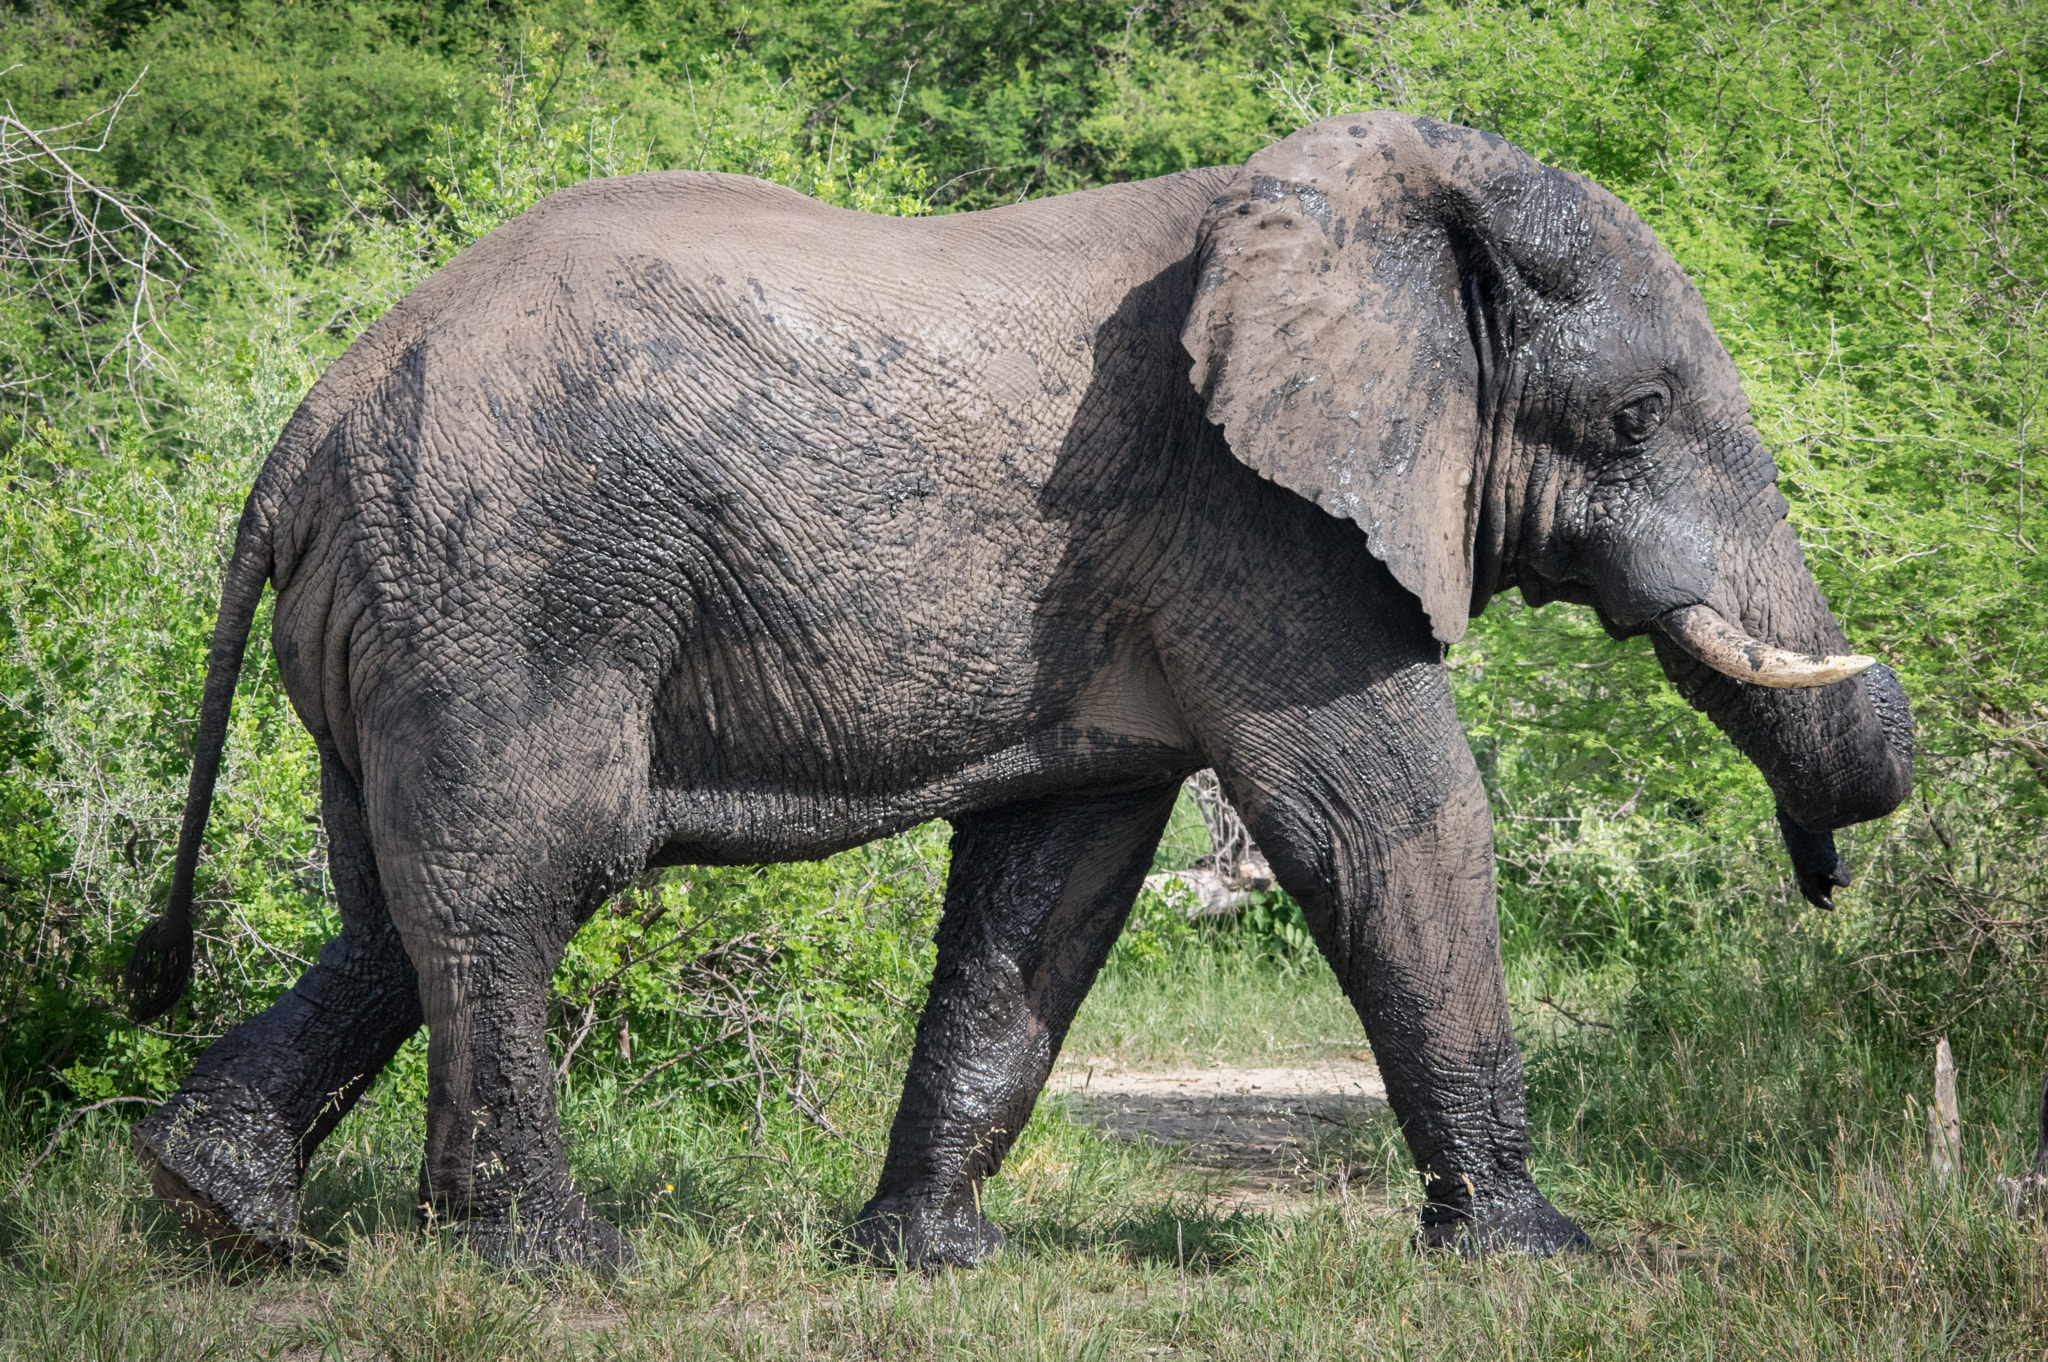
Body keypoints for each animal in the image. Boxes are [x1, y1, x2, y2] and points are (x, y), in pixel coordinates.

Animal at [123, 111, 1916, 1269]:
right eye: (1629, 420)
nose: (1825, 863)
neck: (1377, 200)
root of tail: (299, 436)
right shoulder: (1254, 527)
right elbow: (1378, 820)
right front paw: (1541, 1258)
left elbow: (1057, 873)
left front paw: (924, 1263)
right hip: (512, 575)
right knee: (525, 870)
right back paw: (554, 1264)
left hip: (412, 603)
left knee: (401, 893)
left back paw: (220, 1210)